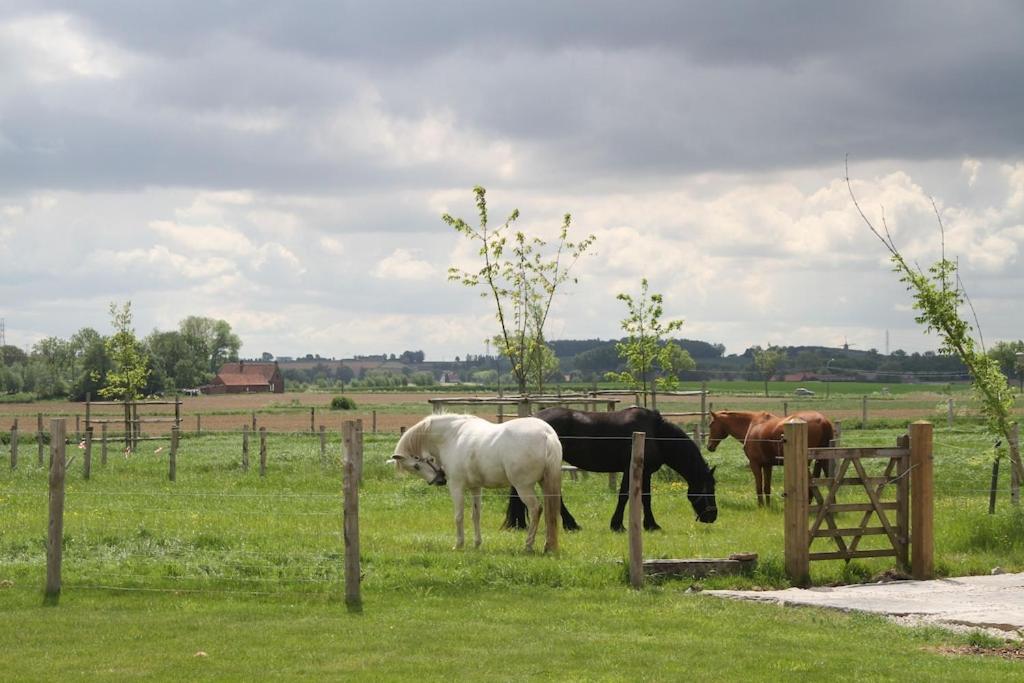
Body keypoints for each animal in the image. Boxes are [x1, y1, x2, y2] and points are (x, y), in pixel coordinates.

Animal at [387, 413, 561, 552]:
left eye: (415, 466)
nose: (439, 480)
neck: (452, 436)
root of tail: (546, 434)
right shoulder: (475, 488)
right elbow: (475, 515)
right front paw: (477, 543)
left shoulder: (456, 486)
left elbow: (459, 515)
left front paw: (459, 544)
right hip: (544, 484)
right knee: (549, 513)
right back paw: (548, 546)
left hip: (523, 487)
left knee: (536, 509)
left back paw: (528, 545)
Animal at [503, 405, 720, 532]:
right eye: (709, 488)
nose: (712, 516)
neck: (656, 433)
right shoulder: (630, 470)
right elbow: (624, 496)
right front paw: (617, 525)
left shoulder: (645, 472)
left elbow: (646, 498)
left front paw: (651, 525)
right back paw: (570, 524)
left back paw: (521, 524)